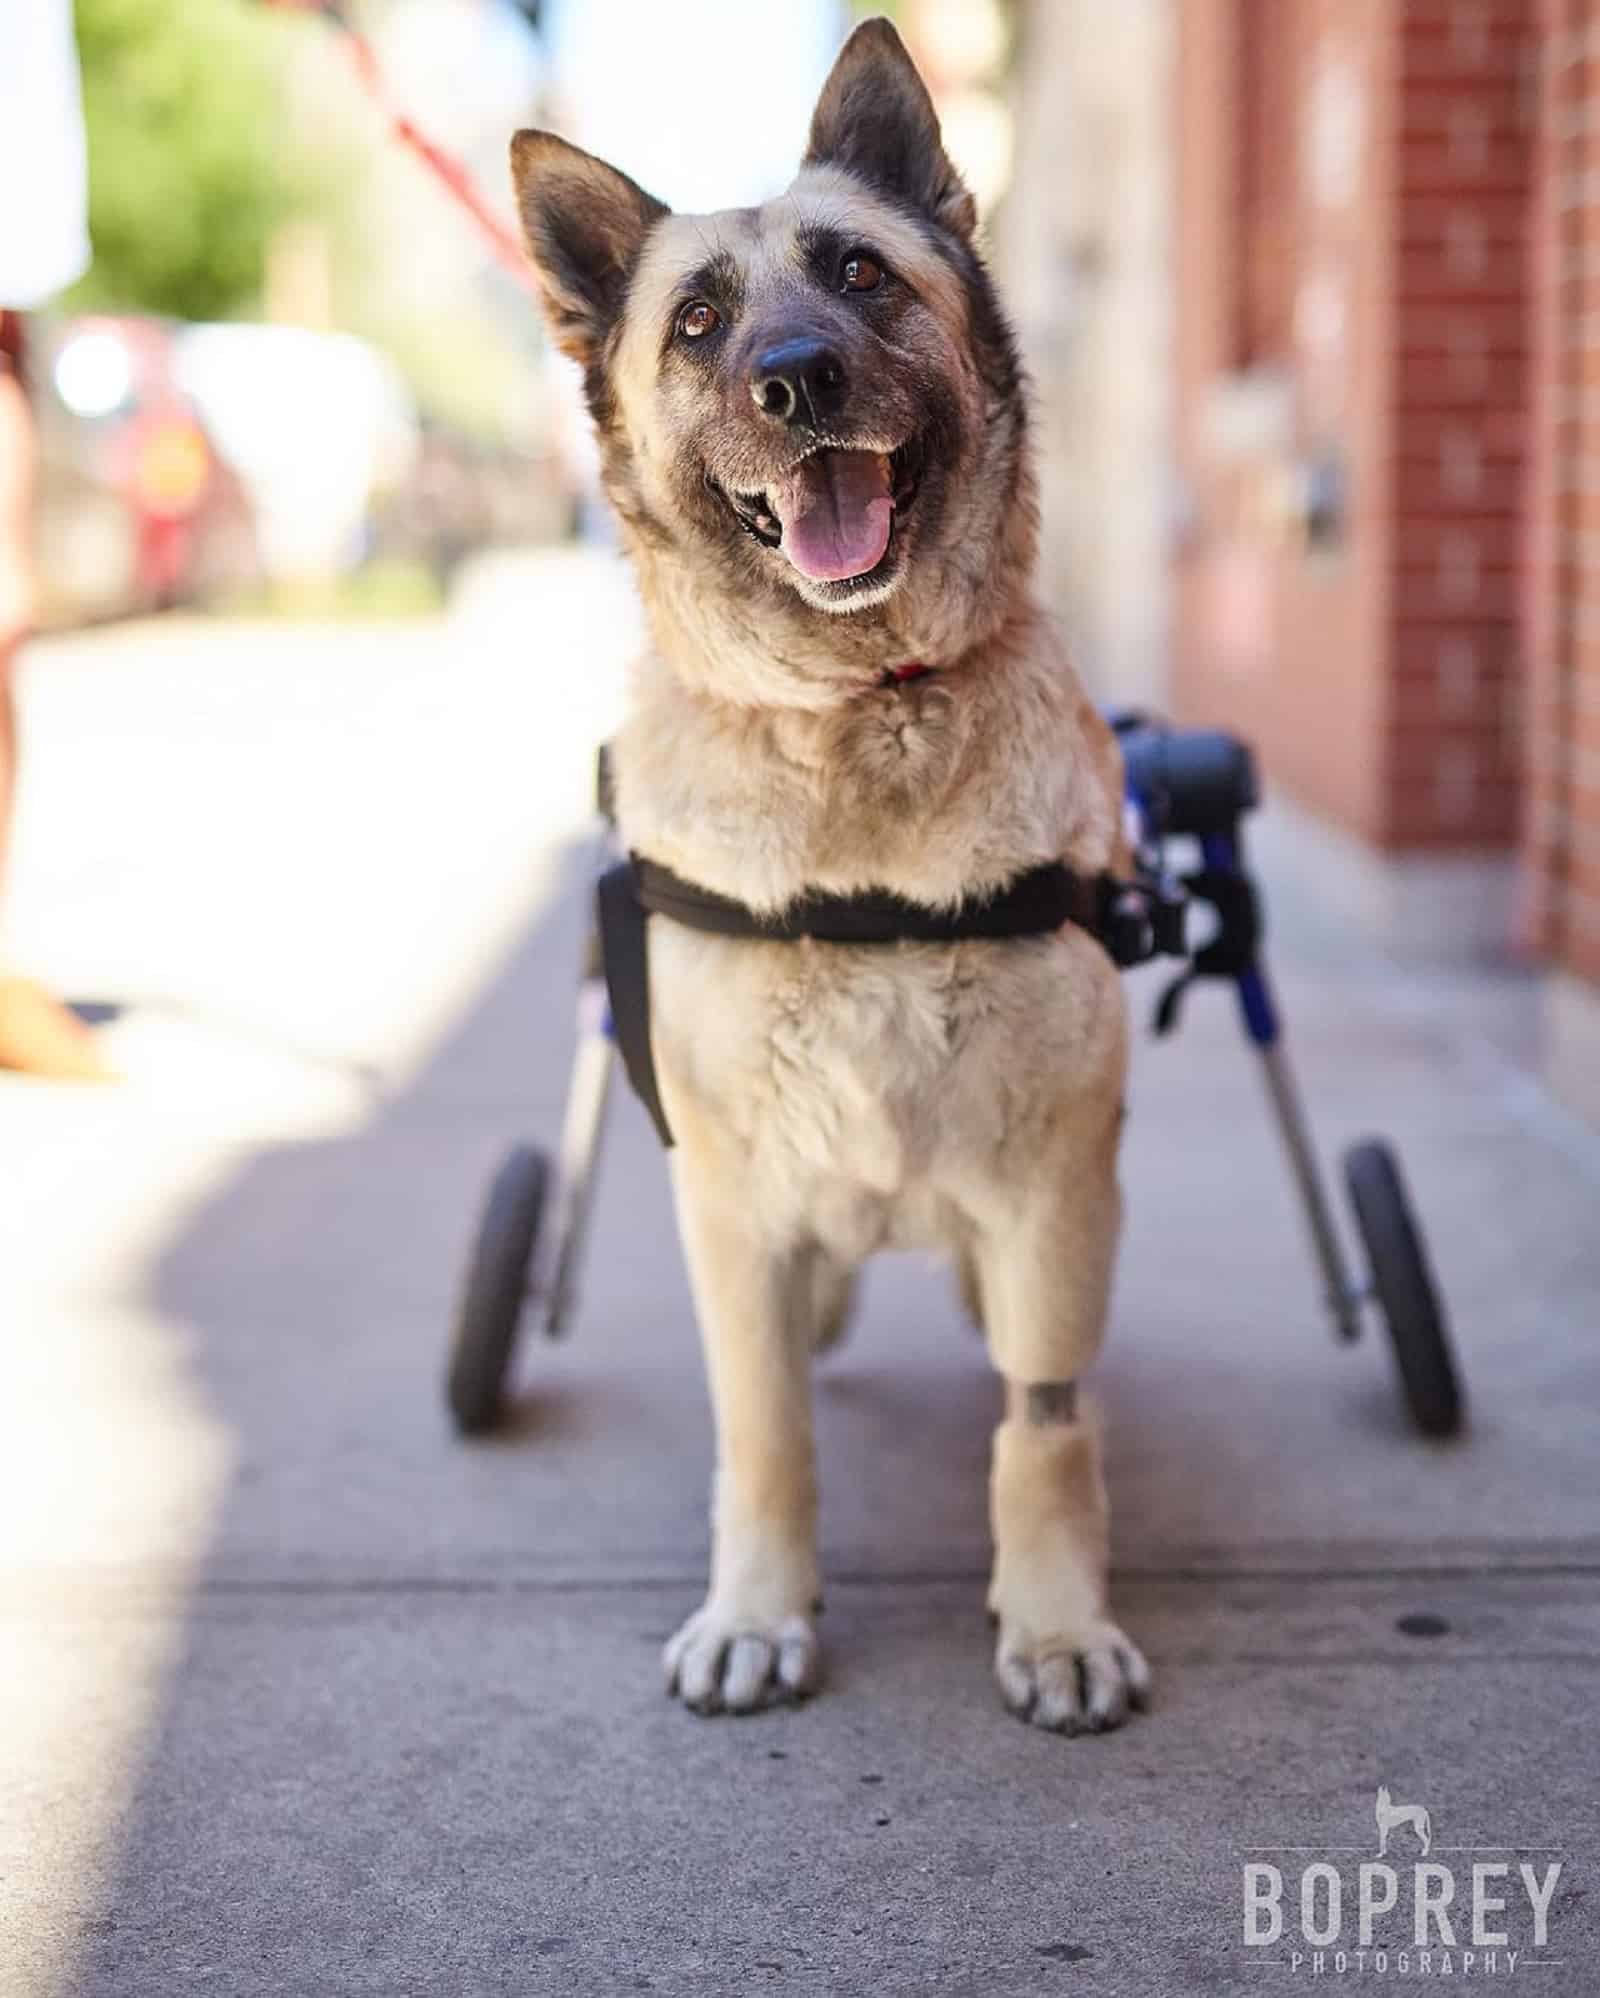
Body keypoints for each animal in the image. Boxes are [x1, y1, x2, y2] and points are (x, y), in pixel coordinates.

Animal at [505, 15, 1142, 1734]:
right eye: (698, 321)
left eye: (860, 272)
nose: (797, 381)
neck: (862, 715)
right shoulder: (732, 1214)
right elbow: (767, 1431)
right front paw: (759, 1611)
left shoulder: (1054, 1190)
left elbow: (1045, 1426)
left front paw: (1055, 1622)